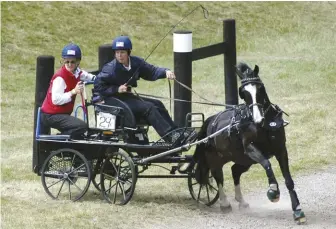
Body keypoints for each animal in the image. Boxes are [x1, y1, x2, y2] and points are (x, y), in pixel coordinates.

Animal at [194, 62, 308, 224]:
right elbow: (266, 163)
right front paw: (273, 191)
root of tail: (211, 120)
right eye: (243, 92)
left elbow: (288, 180)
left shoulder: (281, 149)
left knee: (235, 171)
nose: (258, 118)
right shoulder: (250, 148)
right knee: (218, 176)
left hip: (244, 160)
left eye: (260, 88)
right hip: (217, 158)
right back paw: (225, 203)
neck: (264, 126)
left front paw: (297, 211)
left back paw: (241, 201)